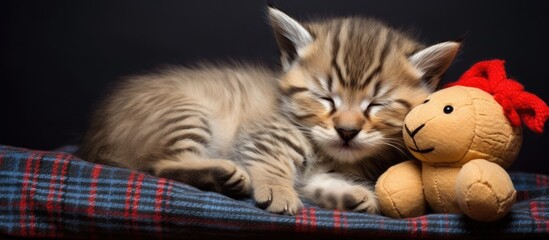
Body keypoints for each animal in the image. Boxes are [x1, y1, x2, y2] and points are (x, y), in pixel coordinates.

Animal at [77, 6, 458, 215]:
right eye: (325, 98)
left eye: (376, 105)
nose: (347, 131)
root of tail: (93, 142)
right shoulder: (266, 134)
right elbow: (271, 162)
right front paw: (277, 190)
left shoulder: (319, 173)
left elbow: (321, 183)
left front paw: (352, 195)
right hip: (187, 113)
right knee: (161, 165)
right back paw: (222, 172)